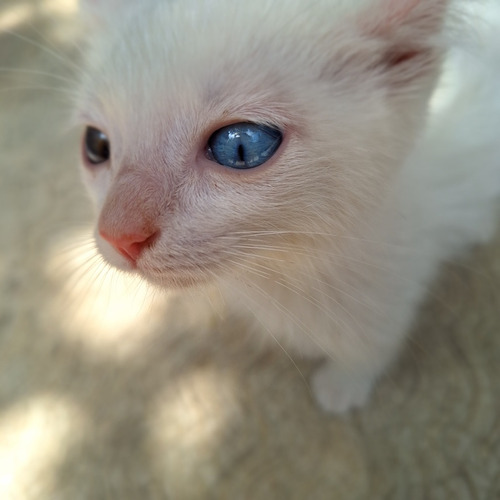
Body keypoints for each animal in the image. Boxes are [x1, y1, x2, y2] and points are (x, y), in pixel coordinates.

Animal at [77, 0, 500, 414]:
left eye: (241, 146)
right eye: (96, 145)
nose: (117, 234)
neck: (282, 270)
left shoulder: (400, 274)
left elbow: (375, 340)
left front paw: (345, 383)